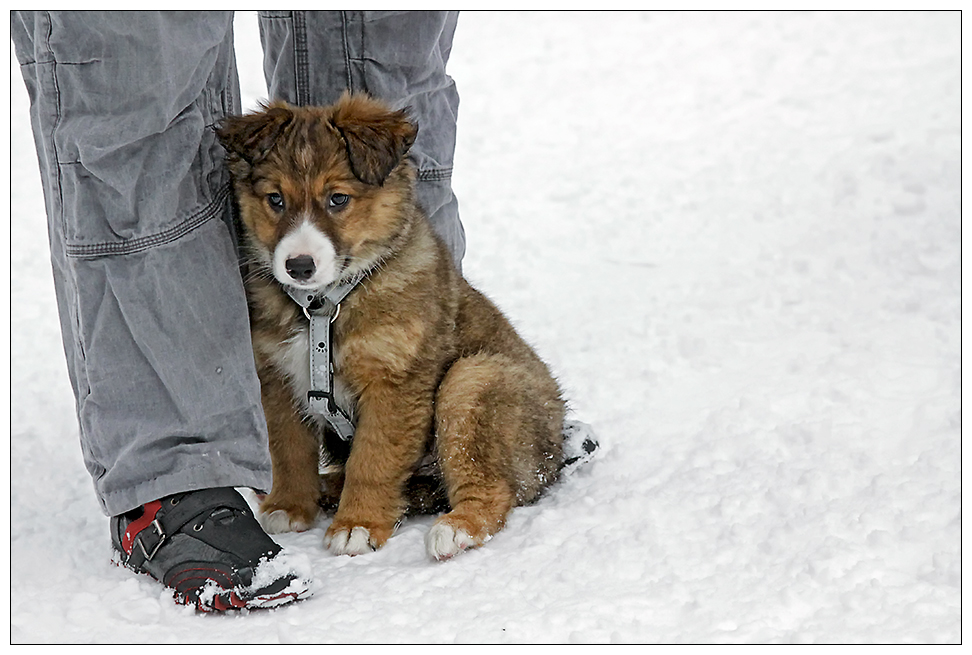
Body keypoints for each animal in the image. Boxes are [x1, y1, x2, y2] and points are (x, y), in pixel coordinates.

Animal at [213, 93, 560, 564]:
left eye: (338, 199)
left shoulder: (395, 382)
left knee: (493, 488)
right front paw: (290, 505)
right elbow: (288, 449)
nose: (299, 266)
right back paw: (329, 488)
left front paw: (357, 525)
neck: (324, 306)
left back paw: (457, 527)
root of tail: (560, 446)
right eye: (275, 200)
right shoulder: (277, 377)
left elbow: (372, 460)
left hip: (473, 381)